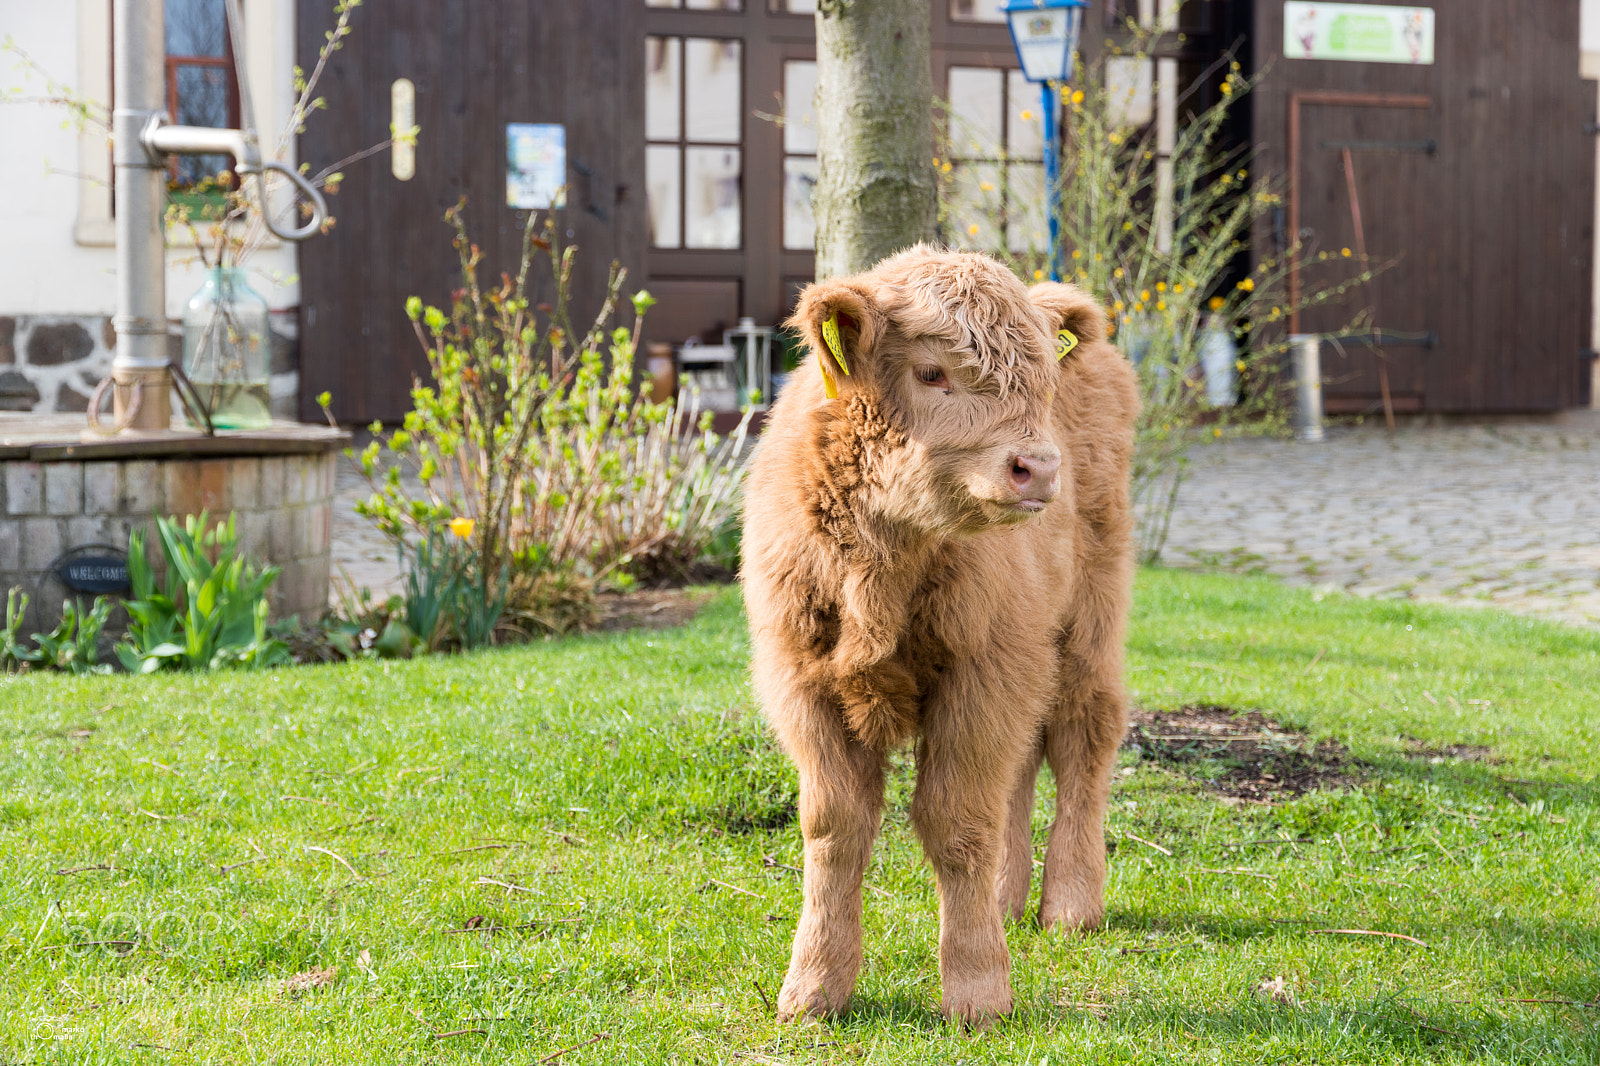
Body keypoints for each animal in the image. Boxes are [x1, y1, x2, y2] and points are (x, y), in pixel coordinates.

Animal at [740, 245, 1140, 1025]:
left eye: (1043, 382)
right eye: (931, 372)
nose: (1038, 467)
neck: (881, 567)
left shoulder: (983, 669)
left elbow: (958, 824)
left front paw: (979, 990)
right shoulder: (800, 679)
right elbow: (833, 828)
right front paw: (813, 987)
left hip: (1087, 621)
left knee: (1082, 733)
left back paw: (1069, 904)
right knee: (1025, 759)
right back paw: (1011, 899)